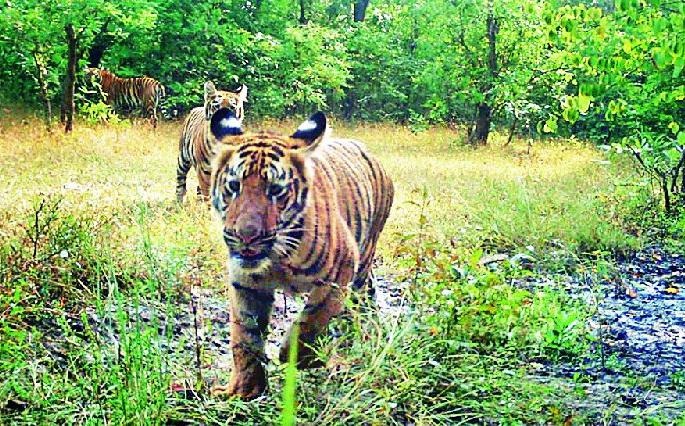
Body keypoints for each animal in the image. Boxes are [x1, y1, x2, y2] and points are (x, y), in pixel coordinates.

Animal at [207, 108, 394, 399]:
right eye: (234, 186)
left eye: (275, 190)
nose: (246, 236)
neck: (276, 258)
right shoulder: (245, 283)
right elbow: (245, 335)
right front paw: (244, 390)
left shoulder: (340, 270)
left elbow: (312, 318)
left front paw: (297, 356)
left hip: (363, 260)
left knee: (355, 305)